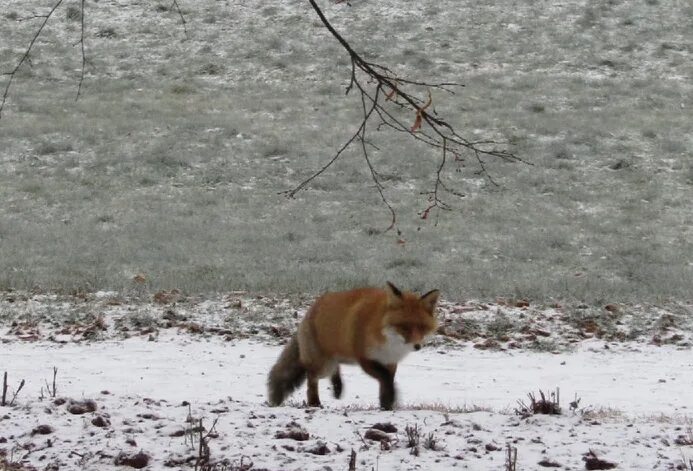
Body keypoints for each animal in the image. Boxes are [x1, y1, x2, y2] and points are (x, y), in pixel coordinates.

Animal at [266, 282, 438, 412]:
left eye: (422, 327)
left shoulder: (390, 361)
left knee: (334, 369)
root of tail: (311, 310)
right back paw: (314, 402)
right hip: (323, 365)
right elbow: (385, 379)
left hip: (335, 358)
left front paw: (386, 405)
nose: (417, 346)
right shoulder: (365, 358)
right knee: (311, 378)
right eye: (404, 327)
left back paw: (338, 387)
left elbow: (386, 382)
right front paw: (391, 397)